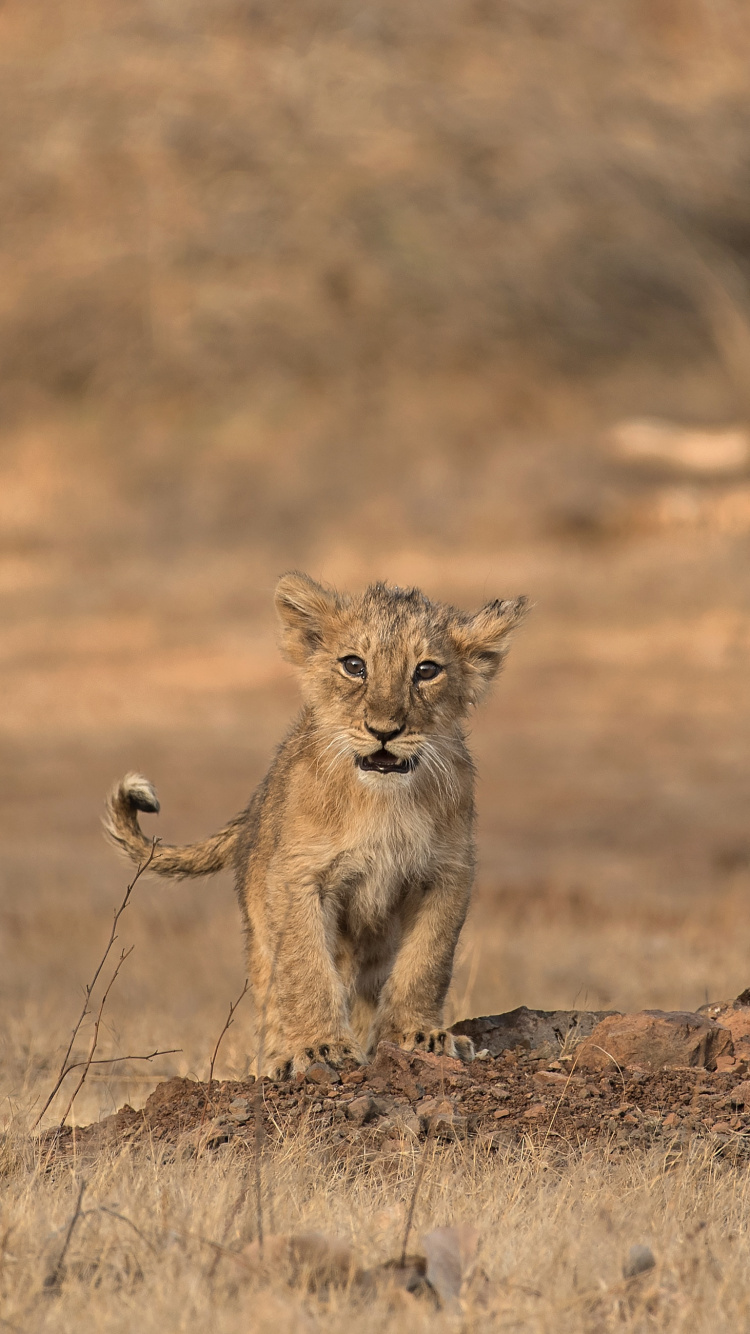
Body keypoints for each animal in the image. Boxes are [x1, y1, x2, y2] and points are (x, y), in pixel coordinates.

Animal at [104, 574, 527, 1077]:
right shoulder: (298, 877)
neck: (382, 802)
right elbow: (305, 967)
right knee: (274, 997)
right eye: (354, 665)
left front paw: (417, 1035)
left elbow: (426, 961)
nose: (384, 730)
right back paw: (277, 1058)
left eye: (426, 670)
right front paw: (321, 1047)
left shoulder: (447, 875)